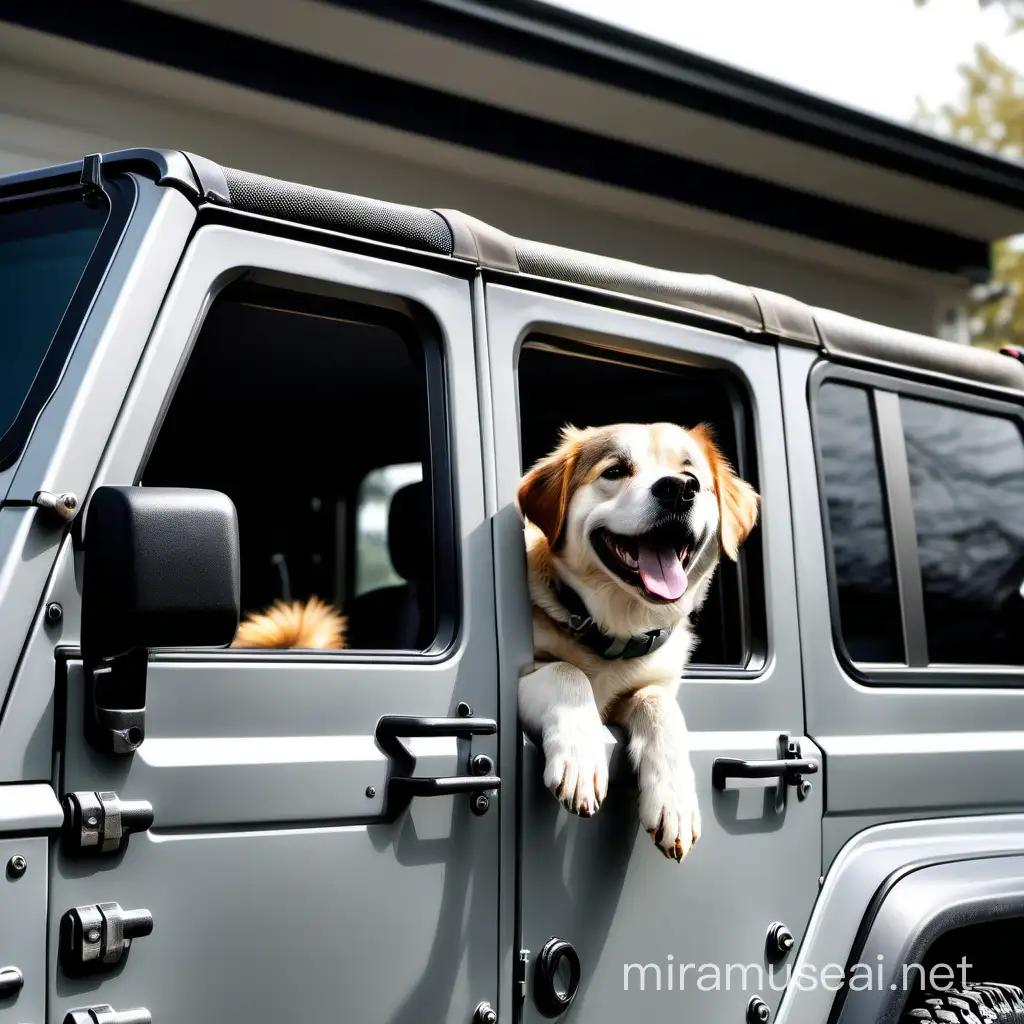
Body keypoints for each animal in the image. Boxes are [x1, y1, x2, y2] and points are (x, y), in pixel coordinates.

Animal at [516, 423, 757, 864]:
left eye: (692, 475)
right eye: (615, 471)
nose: (679, 489)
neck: (613, 630)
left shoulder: (651, 684)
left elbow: (658, 705)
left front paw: (675, 800)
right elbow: (565, 670)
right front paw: (581, 759)